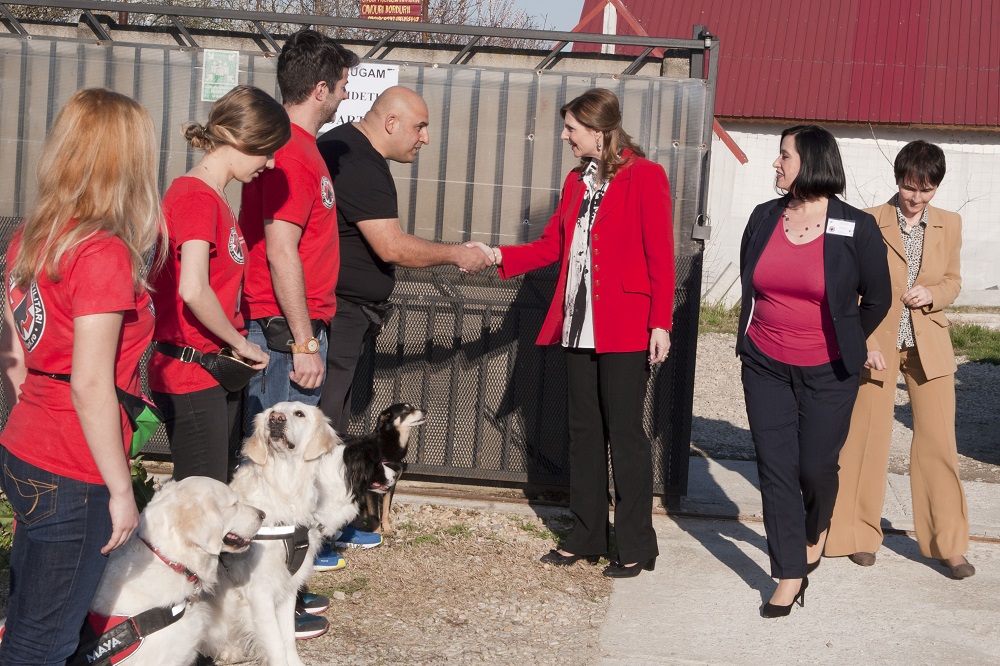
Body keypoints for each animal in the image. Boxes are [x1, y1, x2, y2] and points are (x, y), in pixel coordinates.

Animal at [201, 400, 342, 664]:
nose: (276, 420)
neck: (284, 488)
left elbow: (287, 638)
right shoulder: (259, 591)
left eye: (299, 414)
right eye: (272, 413)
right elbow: (276, 645)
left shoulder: (288, 587)